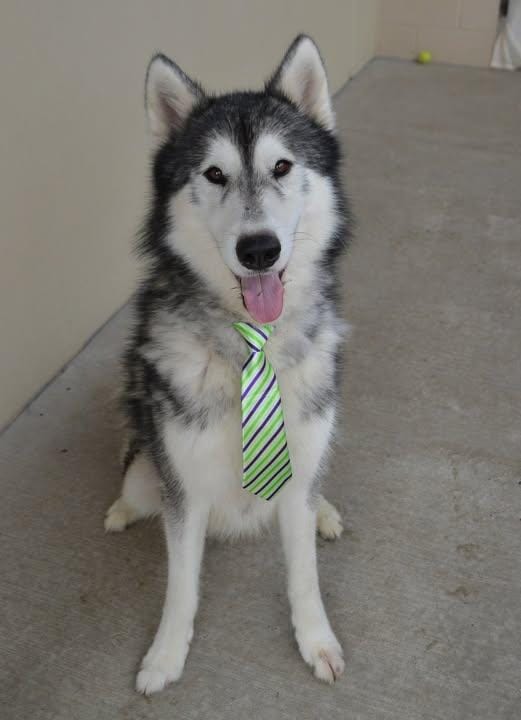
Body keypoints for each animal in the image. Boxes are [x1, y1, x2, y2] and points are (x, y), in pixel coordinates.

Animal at [104, 34, 351, 694]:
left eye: (282, 166)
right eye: (214, 173)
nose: (259, 248)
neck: (251, 345)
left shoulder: (300, 463)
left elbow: (304, 574)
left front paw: (316, 640)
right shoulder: (184, 488)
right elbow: (181, 586)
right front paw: (165, 655)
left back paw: (326, 511)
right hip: (148, 464)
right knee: (137, 483)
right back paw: (120, 509)